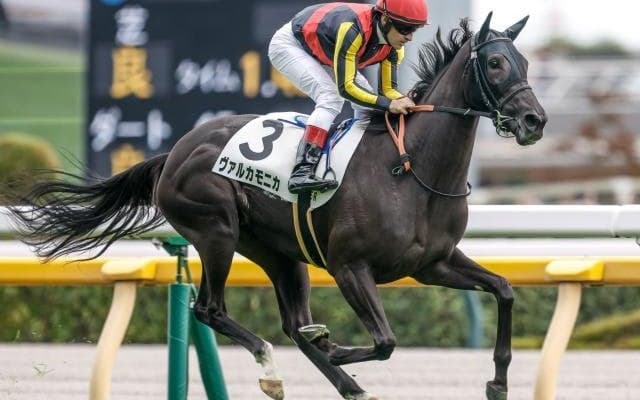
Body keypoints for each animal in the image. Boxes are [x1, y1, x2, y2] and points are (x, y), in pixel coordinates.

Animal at [9, 13, 546, 400]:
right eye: (495, 64)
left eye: (522, 62)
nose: (534, 121)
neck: (411, 170)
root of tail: (176, 151)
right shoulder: (350, 266)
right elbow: (384, 341)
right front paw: (336, 346)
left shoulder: (432, 263)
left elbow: (503, 291)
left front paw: (497, 382)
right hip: (217, 233)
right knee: (211, 309)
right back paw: (275, 365)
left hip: (279, 253)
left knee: (290, 322)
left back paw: (344, 383)